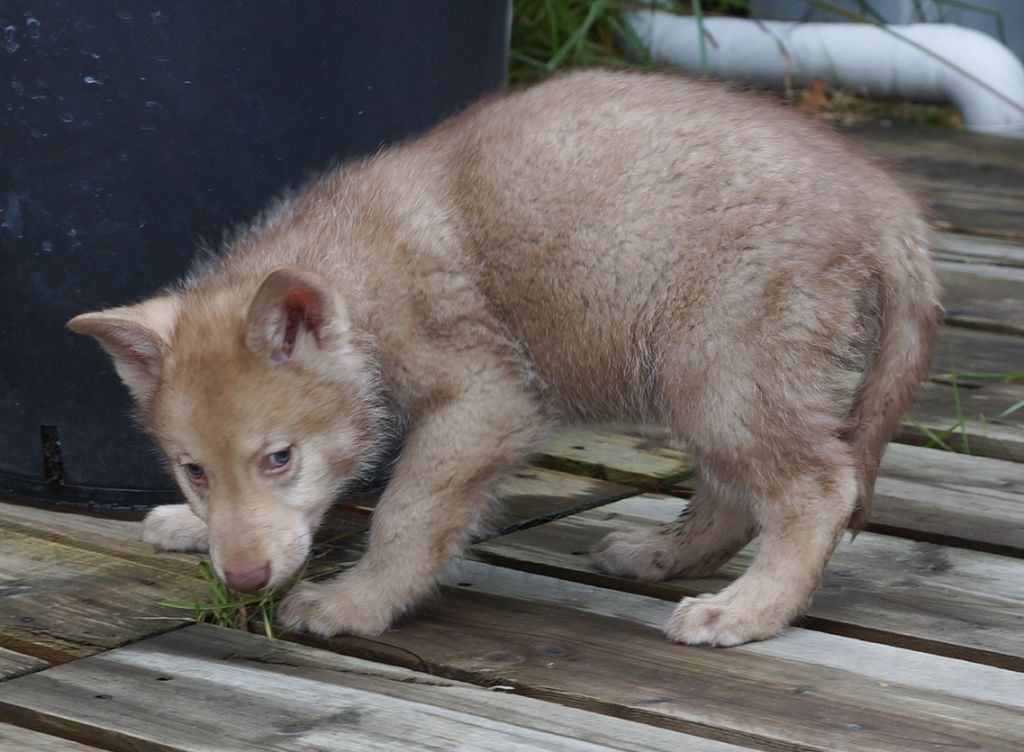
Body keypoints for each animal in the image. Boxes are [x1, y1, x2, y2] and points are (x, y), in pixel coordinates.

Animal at [68, 70, 937, 647]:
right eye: (193, 470)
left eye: (279, 458)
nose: (243, 582)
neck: (359, 274)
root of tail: (884, 202)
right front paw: (190, 525)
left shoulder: (487, 403)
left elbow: (407, 513)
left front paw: (355, 603)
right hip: (704, 373)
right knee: (735, 492)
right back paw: (662, 555)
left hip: (721, 364)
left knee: (816, 488)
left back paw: (747, 610)